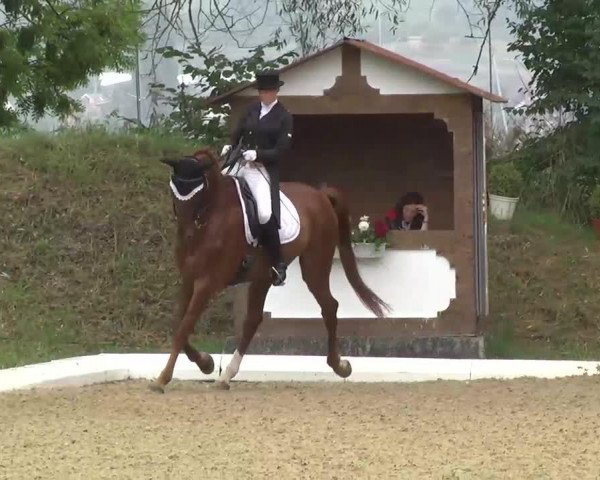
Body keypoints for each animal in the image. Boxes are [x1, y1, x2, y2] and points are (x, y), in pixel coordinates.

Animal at [152, 150, 392, 394]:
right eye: (174, 193)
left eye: (198, 193)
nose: (186, 237)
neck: (211, 218)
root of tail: (320, 195)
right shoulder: (189, 278)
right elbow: (177, 323)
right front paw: (206, 363)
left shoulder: (208, 282)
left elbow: (184, 327)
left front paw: (163, 378)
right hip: (263, 275)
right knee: (253, 320)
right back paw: (226, 376)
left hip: (314, 266)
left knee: (329, 306)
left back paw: (340, 366)